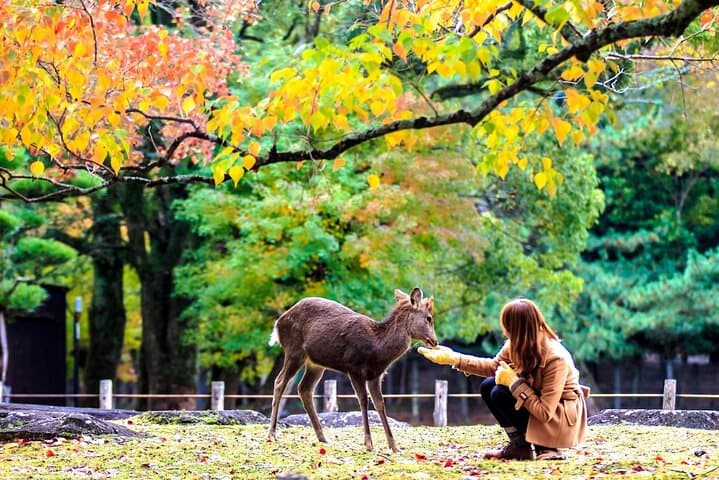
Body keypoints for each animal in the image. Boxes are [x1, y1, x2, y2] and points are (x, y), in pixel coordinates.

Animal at [266, 287, 438, 453]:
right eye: (429, 318)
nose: (435, 341)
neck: (377, 349)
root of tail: (278, 323)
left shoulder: (376, 375)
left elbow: (380, 403)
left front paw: (394, 447)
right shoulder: (354, 368)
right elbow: (363, 400)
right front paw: (368, 444)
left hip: (316, 363)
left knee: (304, 389)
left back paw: (323, 437)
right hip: (294, 351)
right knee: (279, 382)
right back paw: (272, 434)